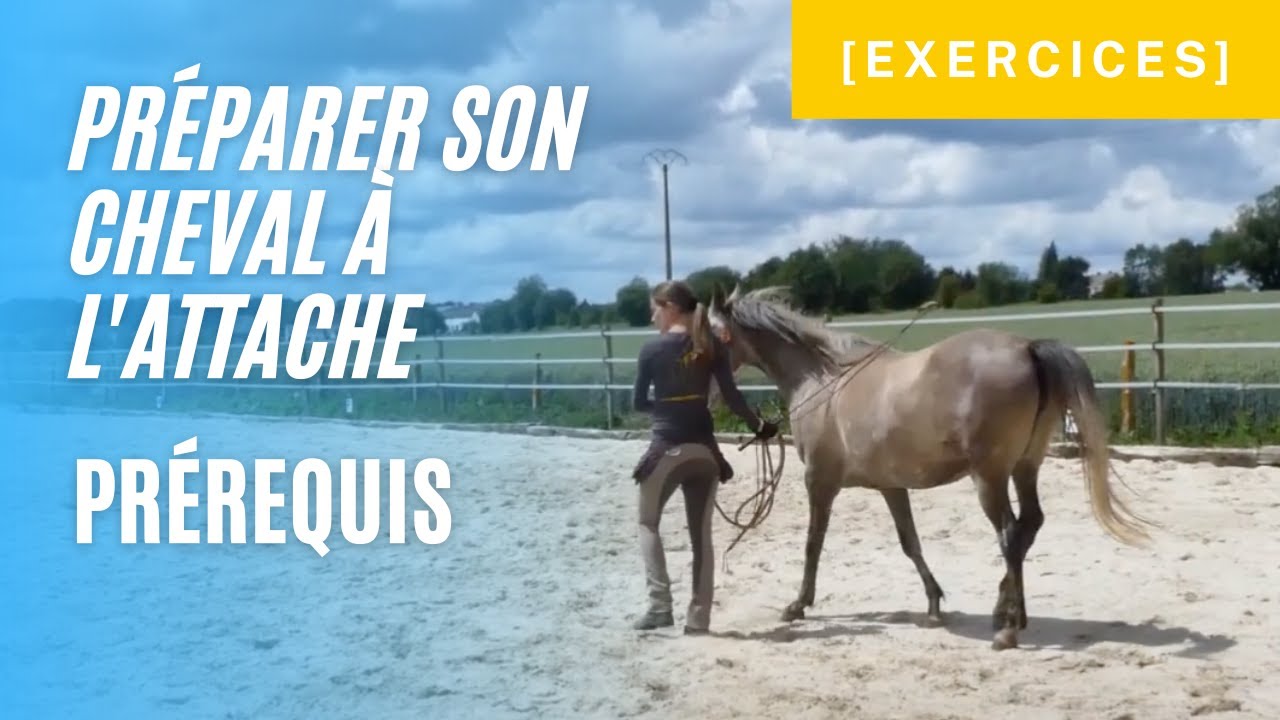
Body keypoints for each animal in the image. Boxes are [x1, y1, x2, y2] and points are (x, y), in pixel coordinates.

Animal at [706, 284, 1154, 650]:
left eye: (708, 336)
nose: (706, 395)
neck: (824, 379)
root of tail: (1028, 349)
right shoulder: (891, 486)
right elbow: (911, 543)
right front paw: (935, 604)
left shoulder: (820, 481)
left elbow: (813, 543)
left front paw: (797, 605)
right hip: (1025, 467)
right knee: (1029, 526)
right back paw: (1012, 613)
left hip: (989, 477)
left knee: (1010, 534)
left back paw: (1007, 630)